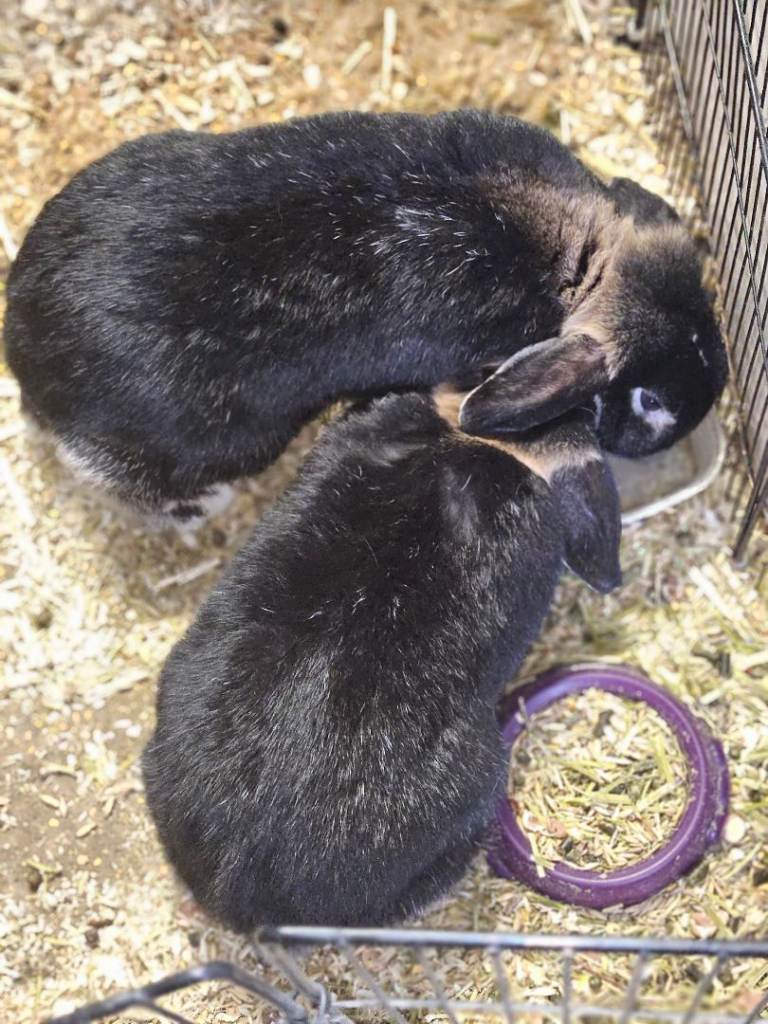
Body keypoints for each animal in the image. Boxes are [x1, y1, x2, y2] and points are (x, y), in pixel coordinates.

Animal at [4, 108, 727, 525]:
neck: (582, 256)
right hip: (215, 441)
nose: (709, 397)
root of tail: (24, 348)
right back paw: (203, 506)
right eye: (651, 400)